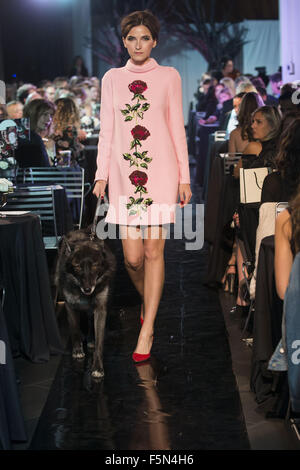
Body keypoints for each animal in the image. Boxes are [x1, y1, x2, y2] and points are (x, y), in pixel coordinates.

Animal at [54, 229, 115, 380]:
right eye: (77, 267)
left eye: (94, 265)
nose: (87, 289)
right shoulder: (70, 306)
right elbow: (75, 329)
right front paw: (77, 350)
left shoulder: (100, 309)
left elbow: (99, 342)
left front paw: (98, 368)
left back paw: (91, 339)